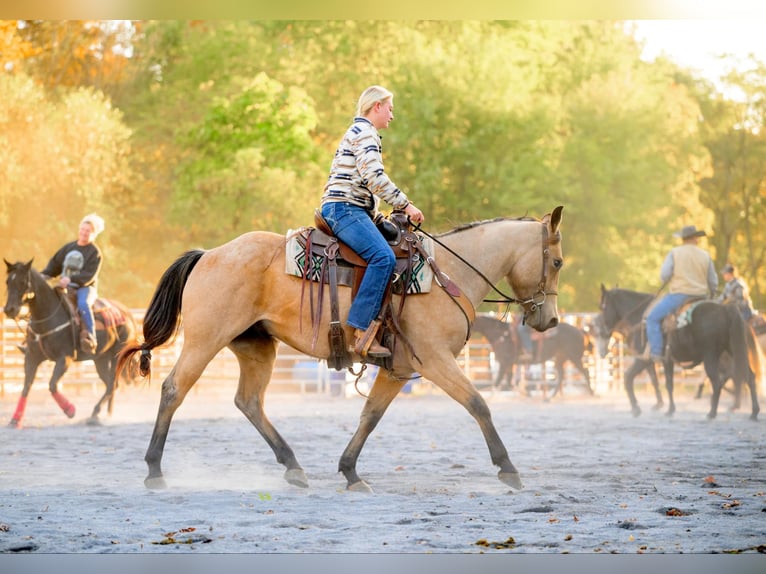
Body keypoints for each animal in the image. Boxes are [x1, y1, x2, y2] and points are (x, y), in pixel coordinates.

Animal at [3, 260, 140, 428]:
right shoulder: (31, 358)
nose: (9, 309)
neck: (47, 317)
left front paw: (70, 410)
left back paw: (94, 415)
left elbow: (52, 385)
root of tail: (128, 314)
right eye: (8, 281)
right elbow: (26, 388)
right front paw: (15, 420)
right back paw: (106, 414)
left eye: (23, 282)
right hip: (100, 359)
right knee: (110, 384)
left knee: (112, 384)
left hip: (117, 356)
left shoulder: (65, 358)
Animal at [117, 205, 568, 492]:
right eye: (558, 262)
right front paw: (508, 468)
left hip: (255, 346)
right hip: (204, 340)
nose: (550, 321)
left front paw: (350, 471)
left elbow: (370, 415)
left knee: (249, 402)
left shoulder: (397, 369)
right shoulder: (435, 360)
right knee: (174, 390)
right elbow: (478, 404)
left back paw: (294, 467)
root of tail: (209, 254)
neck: (447, 275)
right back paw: (155, 471)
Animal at [596, 286, 760, 420]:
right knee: (748, 377)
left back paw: (712, 413)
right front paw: (669, 410)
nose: (603, 331)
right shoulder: (667, 360)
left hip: (711, 356)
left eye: (602, 307)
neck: (640, 319)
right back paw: (753, 412)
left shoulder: (644, 359)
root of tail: (725, 310)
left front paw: (636, 408)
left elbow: (628, 377)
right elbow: (668, 384)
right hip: (734, 351)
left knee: (718, 381)